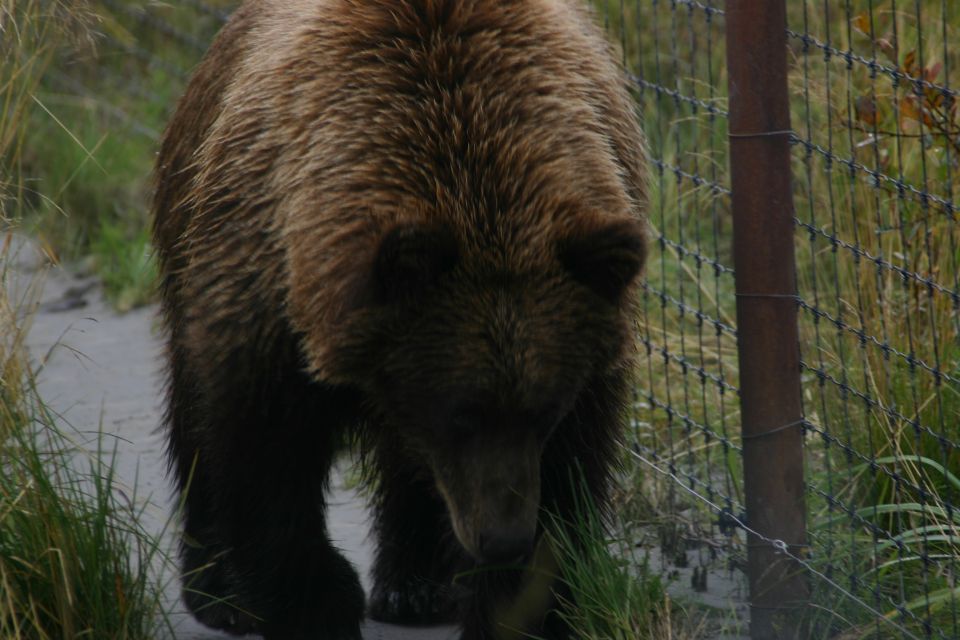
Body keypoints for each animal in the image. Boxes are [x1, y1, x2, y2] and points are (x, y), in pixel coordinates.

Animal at [152, 1, 647, 639]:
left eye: (543, 411)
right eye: (461, 414)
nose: (502, 539)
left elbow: (566, 483)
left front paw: (519, 604)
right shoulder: (265, 289)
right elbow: (262, 455)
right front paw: (314, 604)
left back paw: (415, 588)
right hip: (186, 211)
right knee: (192, 414)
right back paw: (219, 592)